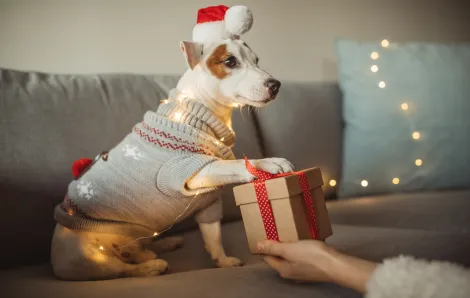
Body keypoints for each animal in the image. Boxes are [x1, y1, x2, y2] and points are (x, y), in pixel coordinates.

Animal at [51, 4, 294, 280]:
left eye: (256, 60)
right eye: (230, 61)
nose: (276, 85)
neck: (195, 114)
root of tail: (55, 263)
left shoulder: (208, 202)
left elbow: (213, 237)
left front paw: (222, 262)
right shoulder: (188, 171)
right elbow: (234, 165)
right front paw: (269, 163)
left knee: (139, 249)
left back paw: (160, 246)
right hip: (93, 254)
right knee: (123, 269)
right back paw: (151, 265)